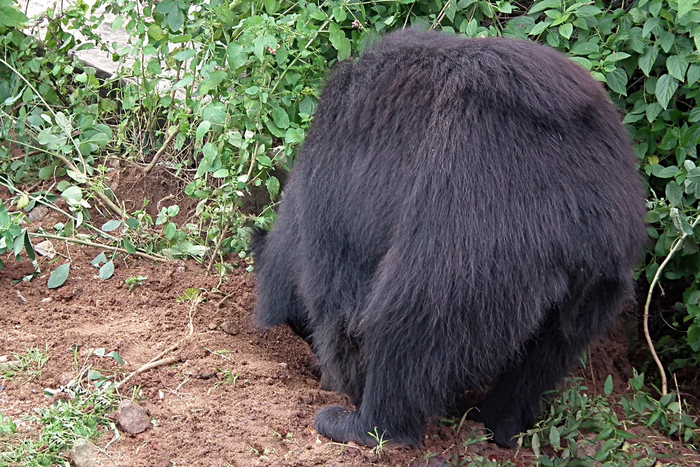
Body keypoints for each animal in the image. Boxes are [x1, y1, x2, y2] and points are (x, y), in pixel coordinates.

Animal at [249, 29, 648, 450]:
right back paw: (497, 422)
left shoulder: (340, 205)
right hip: (602, 276)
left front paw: (341, 381)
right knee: (548, 353)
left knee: (410, 317)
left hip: (471, 235)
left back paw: (358, 423)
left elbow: (339, 304)